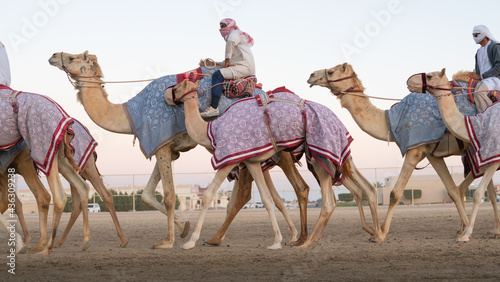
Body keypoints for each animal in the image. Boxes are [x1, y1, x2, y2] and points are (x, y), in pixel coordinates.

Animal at [173, 79, 382, 249]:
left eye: (180, 85)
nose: (171, 94)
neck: (210, 131)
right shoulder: (252, 161)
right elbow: (267, 199)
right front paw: (277, 241)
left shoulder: (230, 157)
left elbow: (211, 196)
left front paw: (193, 241)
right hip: (329, 155)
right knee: (360, 187)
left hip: (316, 154)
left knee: (323, 196)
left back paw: (307, 242)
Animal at [304, 63, 480, 242]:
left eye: (331, 71)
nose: (311, 75)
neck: (390, 120)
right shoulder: (431, 153)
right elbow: (452, 190)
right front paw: (464, 230)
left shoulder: (414, 150)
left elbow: (395, 193)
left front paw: (380, 234)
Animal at [408, 67, 500, 240]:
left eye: (429, 76)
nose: (409, 81)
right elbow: (487, 193)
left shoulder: (494, 154)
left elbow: (478, 193)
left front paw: (466, 234)